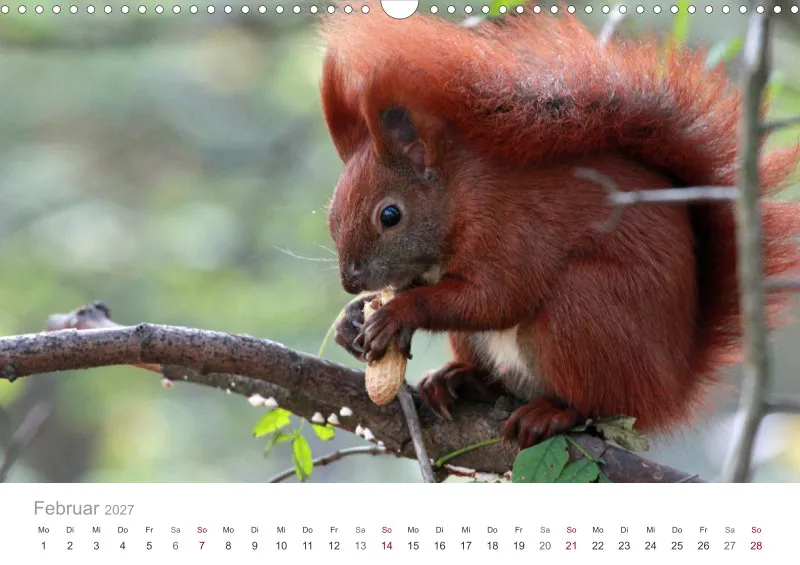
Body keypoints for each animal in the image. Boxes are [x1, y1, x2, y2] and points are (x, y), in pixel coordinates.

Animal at [318, 4, 800, 449]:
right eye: (331, 213)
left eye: (390, 215)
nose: (349, 280)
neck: (457, 195)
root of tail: (669, 388)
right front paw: (351, 318)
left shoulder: (509, 228)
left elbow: (496, 298)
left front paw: (397, 312)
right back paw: (460, 381)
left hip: (584, 309)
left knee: (595, 401)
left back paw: (552, 412)